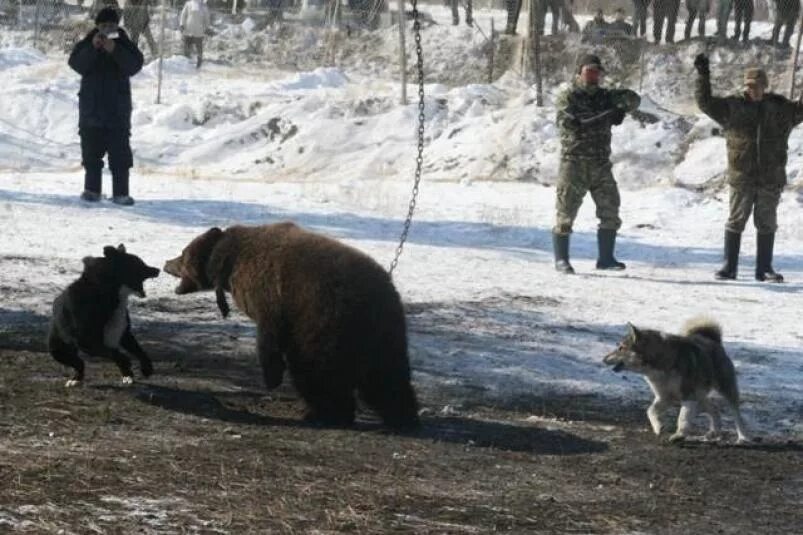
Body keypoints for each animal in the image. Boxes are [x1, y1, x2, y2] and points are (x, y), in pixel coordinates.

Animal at [48, 245, 160, 388]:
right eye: (139, 264)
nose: (158, 270)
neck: (107, 293)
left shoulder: (124, 332)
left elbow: (138, 350)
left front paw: (146, 368)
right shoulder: (87, 341)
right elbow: (117, 355)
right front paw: (128, 364)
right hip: (58, 349)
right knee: (79, 363)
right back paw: (75, 379)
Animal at [160, 223, 418, 432]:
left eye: (182, 254)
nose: (165, 262)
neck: (228, 263)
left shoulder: (271, 295)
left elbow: (268, 335)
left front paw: (272, 377)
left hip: (325, 324)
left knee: (317, 373)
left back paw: (326, 413)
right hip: (383, 333)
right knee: (387, 378)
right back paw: (402, 417)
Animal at [608, 318, 752, 444]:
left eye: (621, 348)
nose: (604, 359)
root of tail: (713, 340)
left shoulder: (688, 396)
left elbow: (682, 418)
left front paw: (679, 435)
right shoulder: (665, 397)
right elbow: (650, 411)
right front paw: (658, 427)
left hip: (725, 389)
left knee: (736, 414)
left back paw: (743, 437)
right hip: (700, 397)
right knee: (714, 409)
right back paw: (712, 433)